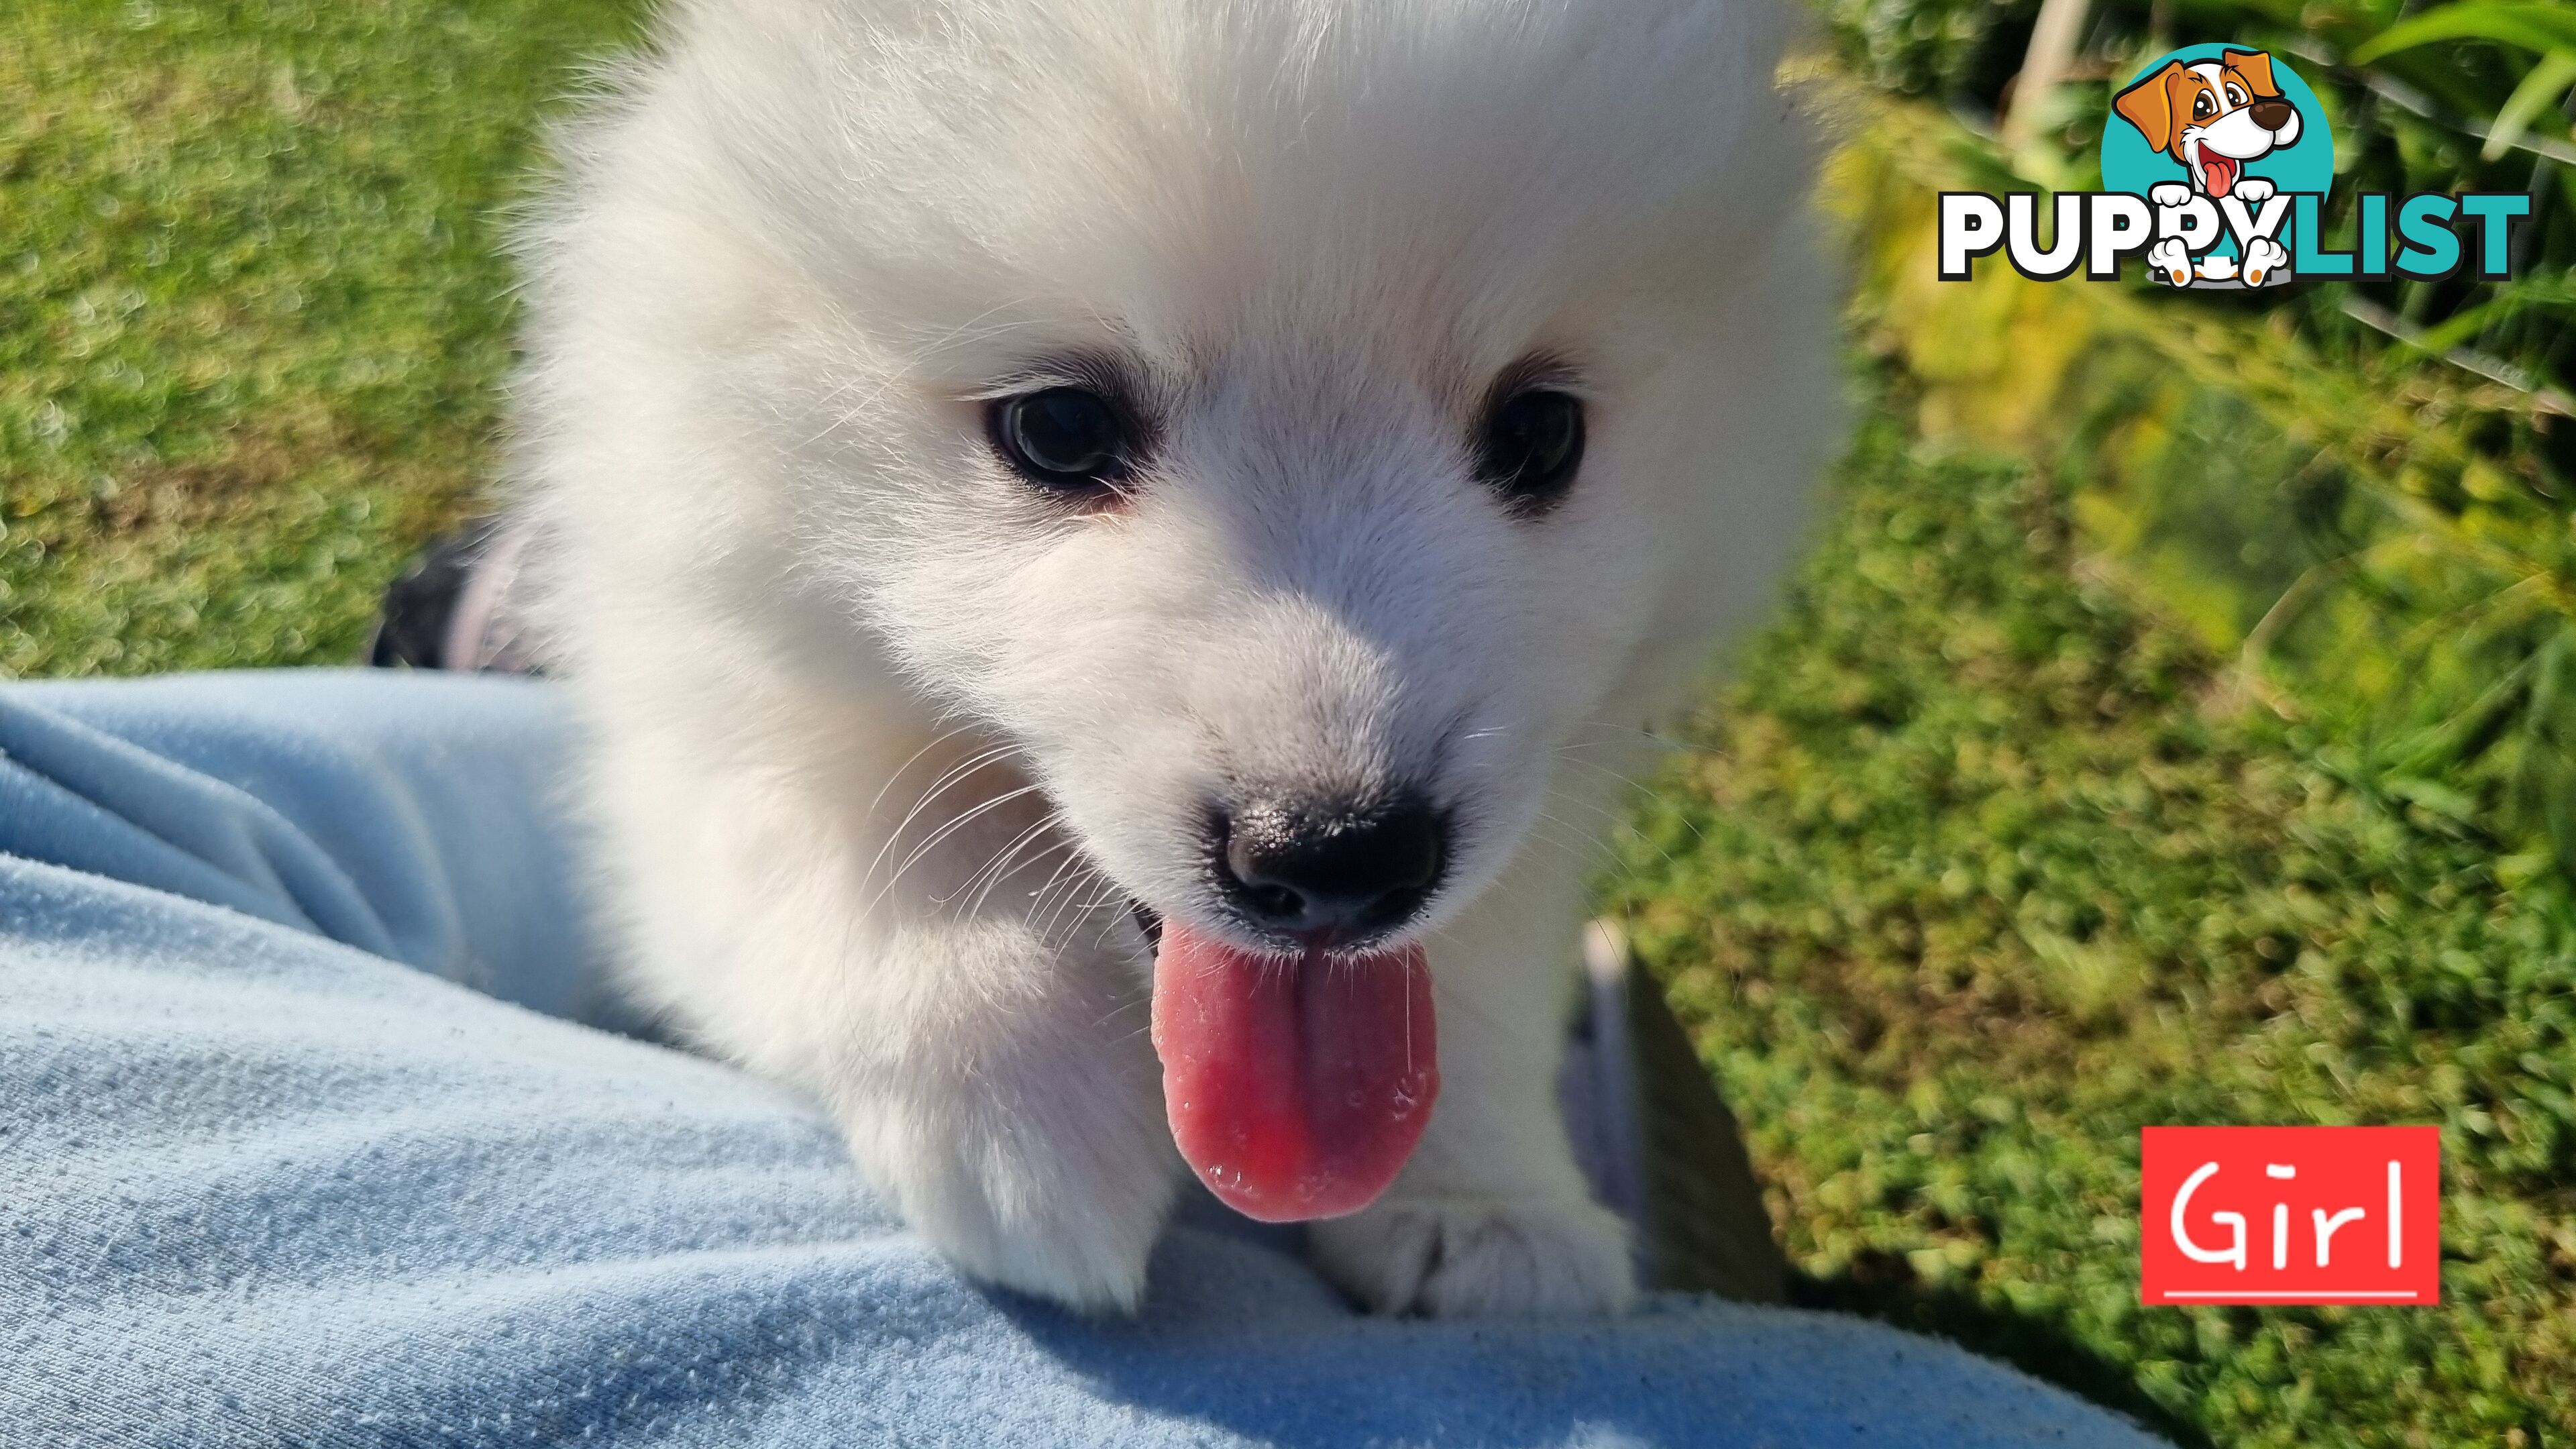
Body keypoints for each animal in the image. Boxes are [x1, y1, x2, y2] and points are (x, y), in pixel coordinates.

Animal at [517, 0, 1834, 1315]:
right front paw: (1029, 1117)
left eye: (1543, 433)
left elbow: (1481, 975)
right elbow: (844, 845)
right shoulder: (699, 694)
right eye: (1057, 425)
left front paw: (1490, 1209)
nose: (1340, 860)